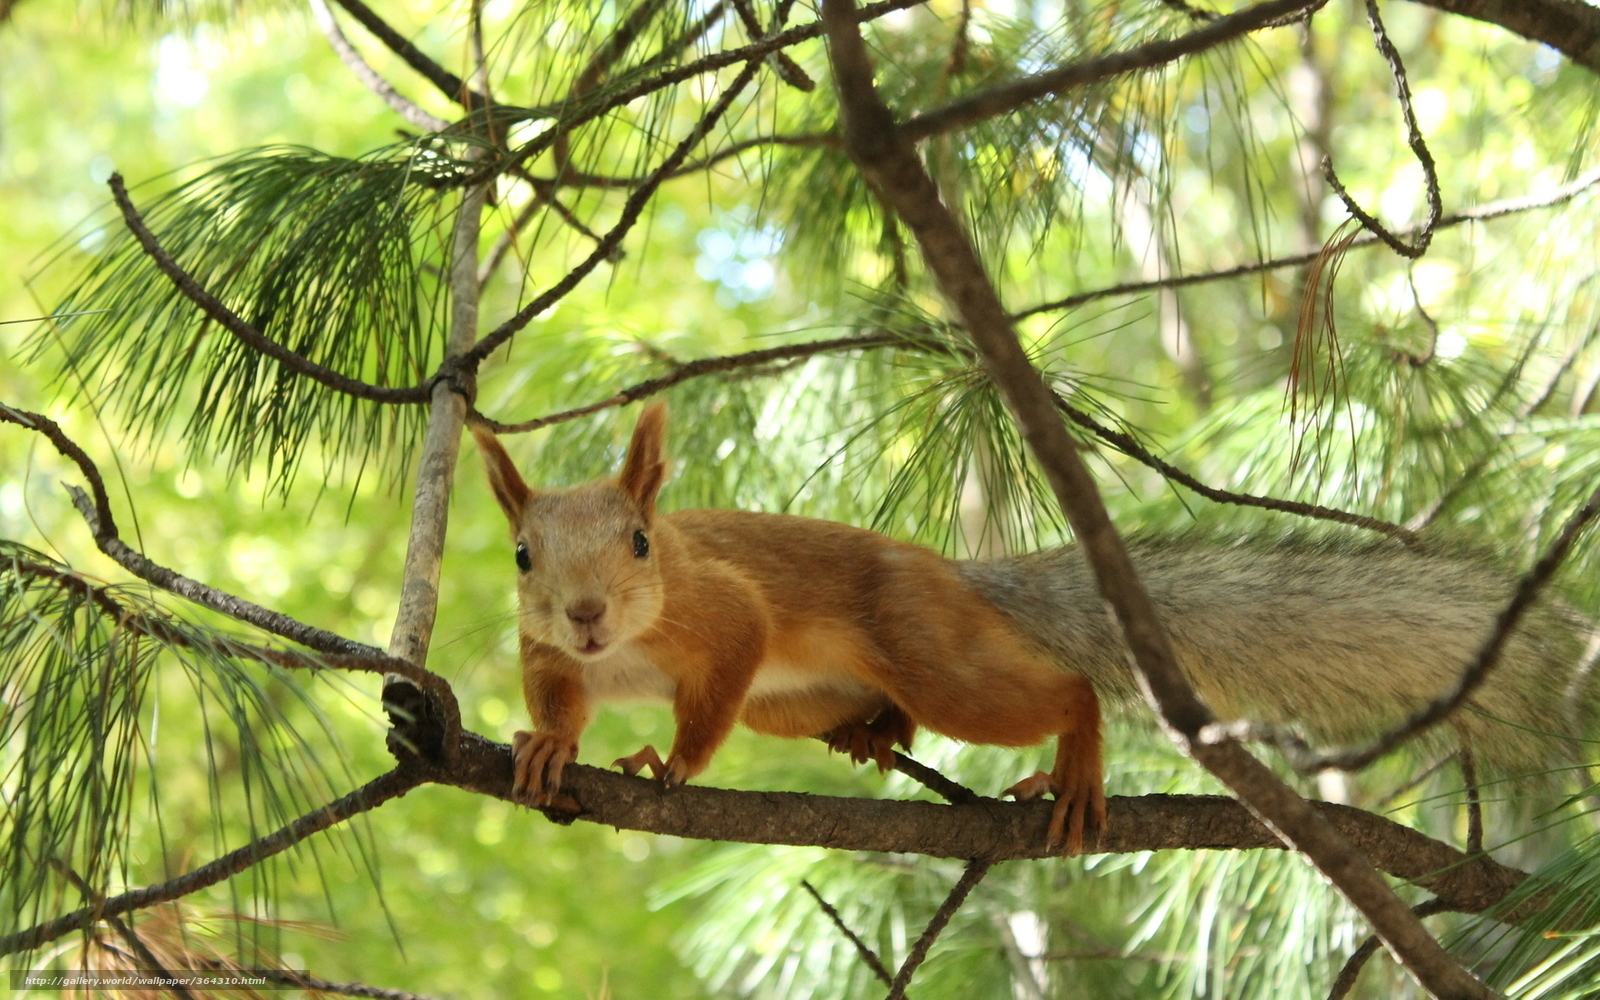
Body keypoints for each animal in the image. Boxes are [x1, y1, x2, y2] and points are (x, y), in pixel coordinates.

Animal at [471, 403, 1593, 855]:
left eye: (641, 541)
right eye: (521, 556)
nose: (585, 611)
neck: (622, 651)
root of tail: (954, 578)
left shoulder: (726, 611)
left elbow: (719, 681)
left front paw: (667, 762)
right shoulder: (545, 652)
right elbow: (558, 698)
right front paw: (548, 747)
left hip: (929, 650)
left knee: (1060, 691)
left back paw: (1077, 762)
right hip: (797, 702)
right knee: (879, 713)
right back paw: (871, 736)